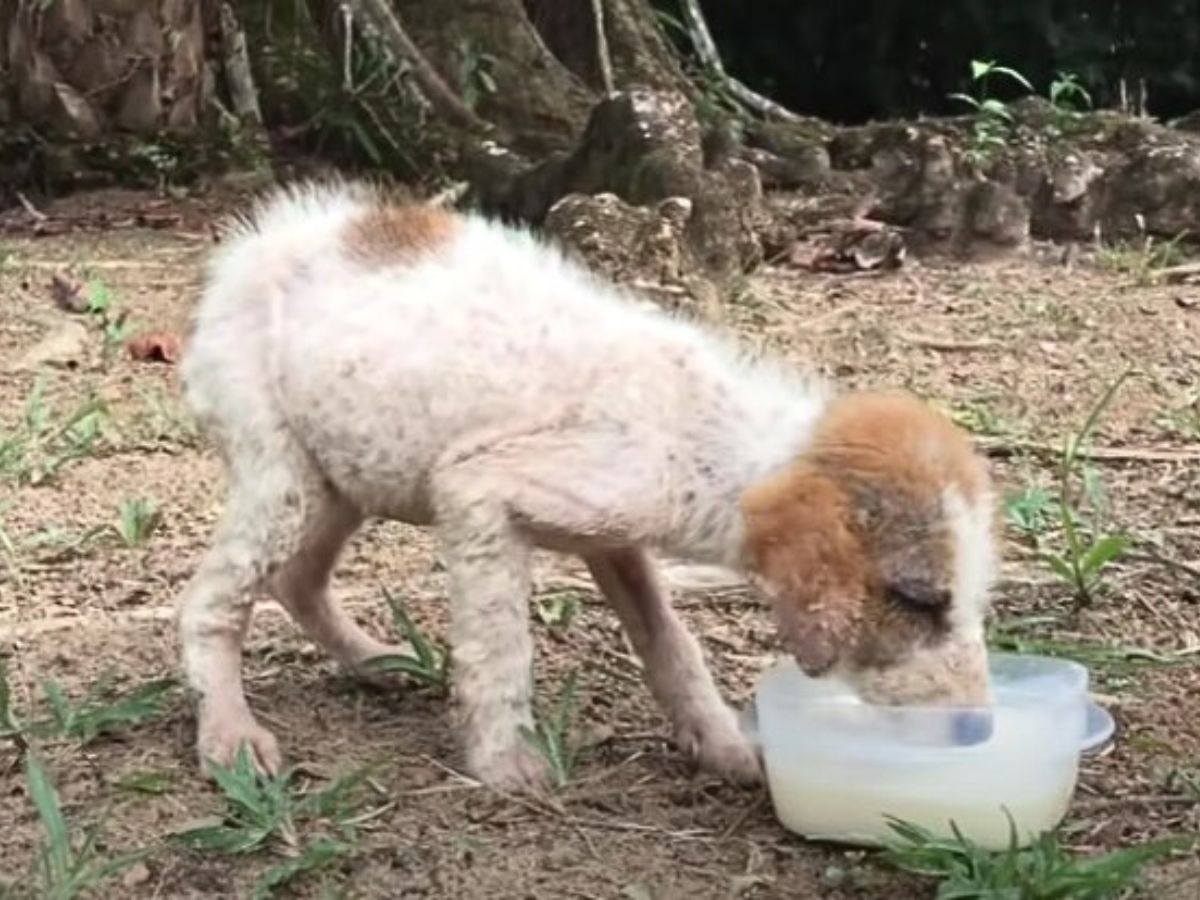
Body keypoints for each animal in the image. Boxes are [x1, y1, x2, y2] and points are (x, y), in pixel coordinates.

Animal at [177, 181, 998, 787]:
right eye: (919, 600)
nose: (979, 729)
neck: (717, 441)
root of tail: (263, 237)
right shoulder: (478, 490)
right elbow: (500, 645)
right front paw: (504, 762)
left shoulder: (614, 537)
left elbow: (671, 643)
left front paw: (725, 745)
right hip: (280, 469)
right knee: (211, 604)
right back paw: (229, 730)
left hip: (345, 475)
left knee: (297, 579)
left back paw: (371, 661)